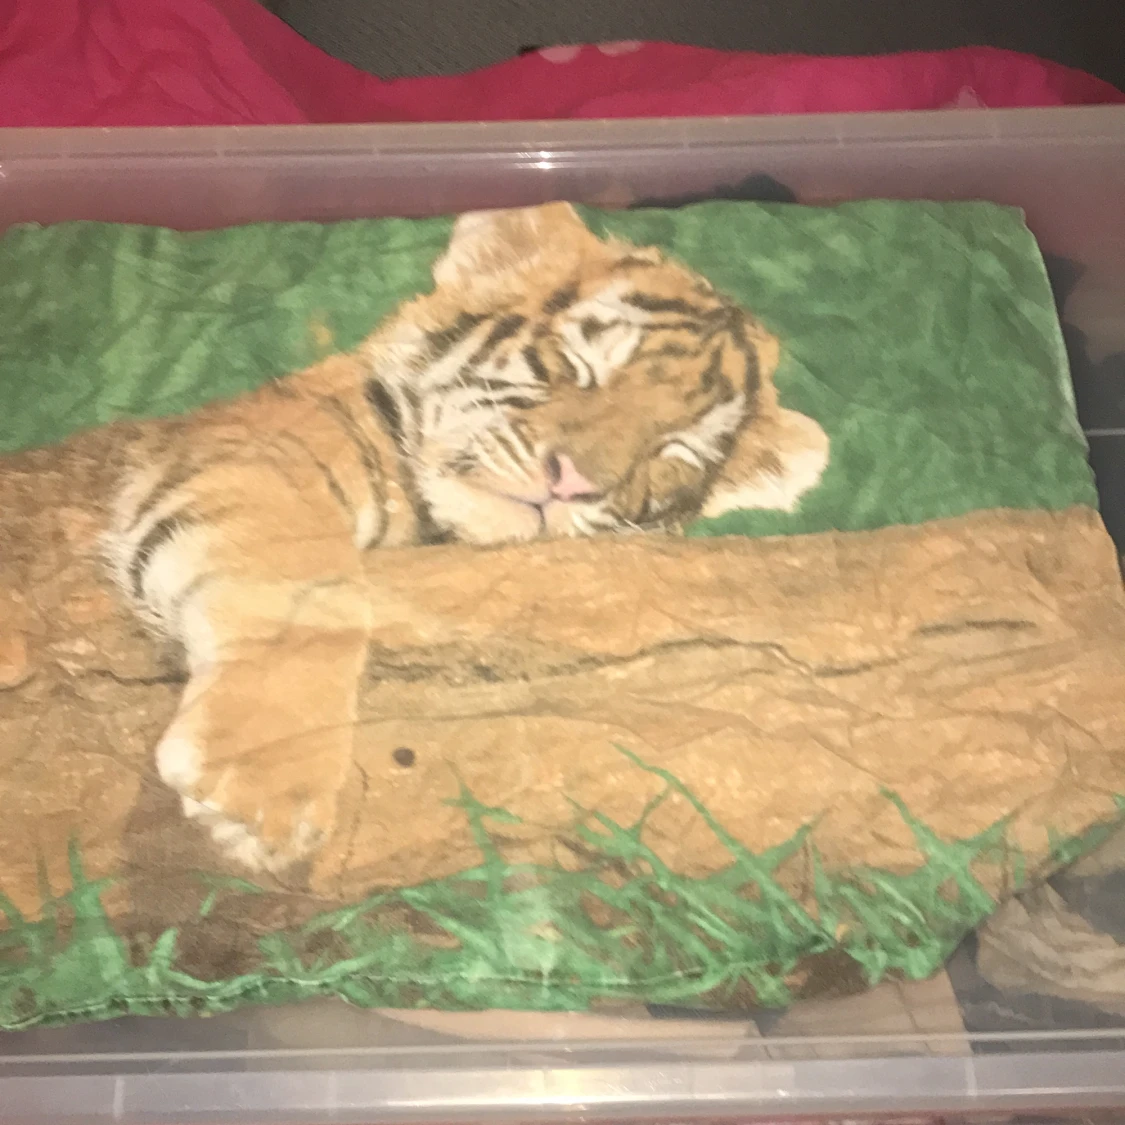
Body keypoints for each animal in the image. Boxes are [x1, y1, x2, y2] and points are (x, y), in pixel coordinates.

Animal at [102, 201, 829, 872]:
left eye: (672, 450)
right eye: (577, 366)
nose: (572, 485)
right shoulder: (246, 460)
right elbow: (305, 595)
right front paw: (260, 787)